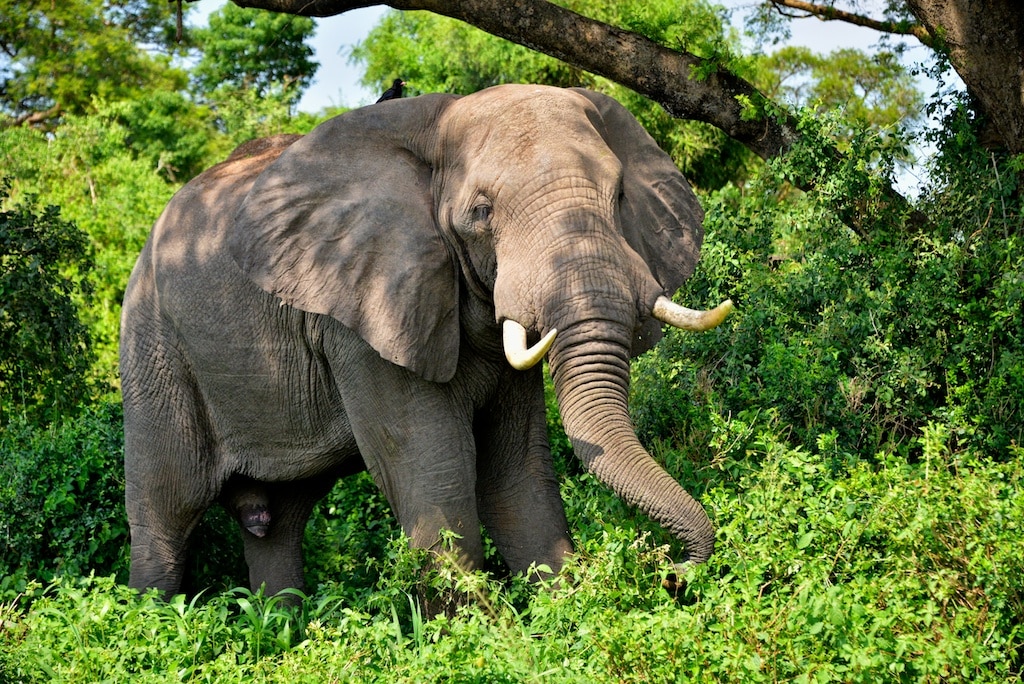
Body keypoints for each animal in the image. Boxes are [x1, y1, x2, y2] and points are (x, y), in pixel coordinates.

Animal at [119, 84, 733, 598]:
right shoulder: (366, 310)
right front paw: (480, 636)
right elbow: (436, 476)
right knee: (166, 515)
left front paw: (564, 614)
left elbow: (515, 474)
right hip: (153, 345)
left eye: (621, 193)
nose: (669, 567)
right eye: (481, 212)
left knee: (279, 524)